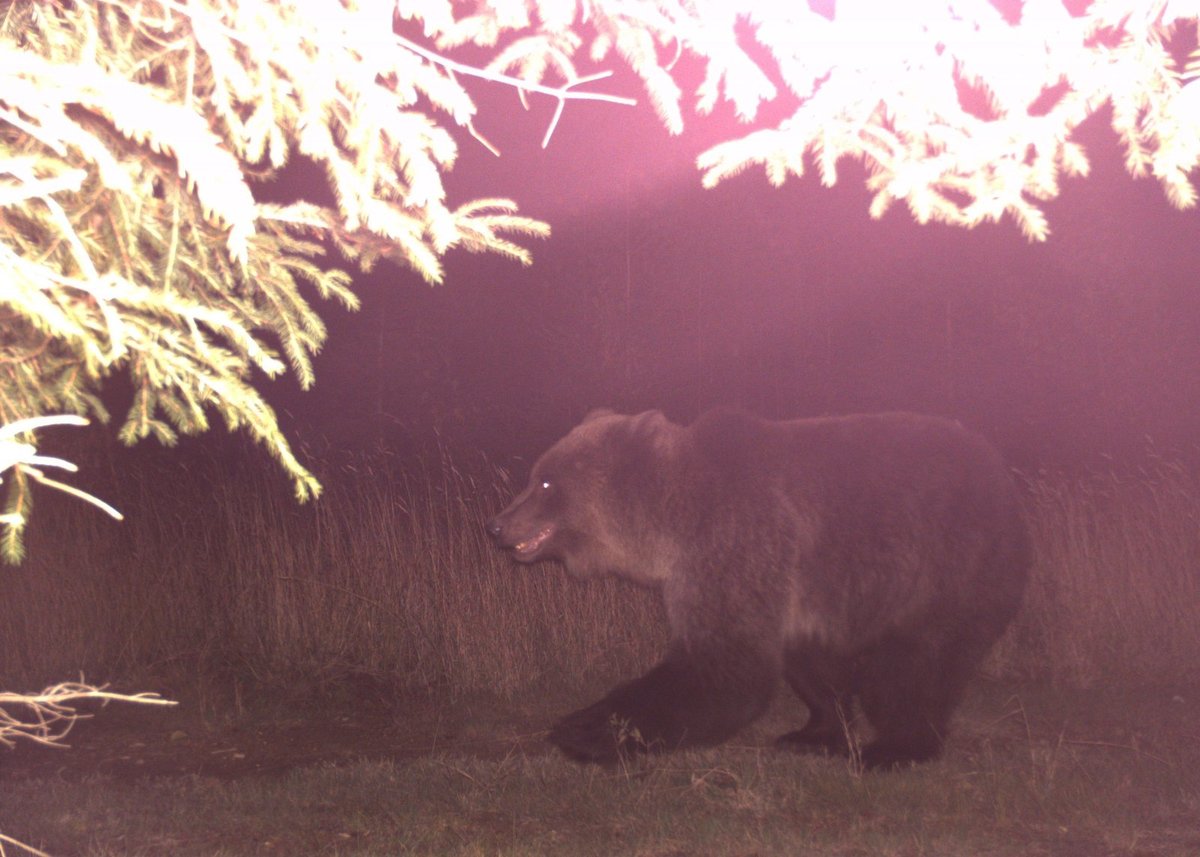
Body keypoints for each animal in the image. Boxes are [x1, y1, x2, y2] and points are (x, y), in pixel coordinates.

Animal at [482, 408, 1027, 768]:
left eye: (545, 483)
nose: (496, 525)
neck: (666, 523)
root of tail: (998, 467)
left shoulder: (734, 540)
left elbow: (723, 667)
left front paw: (584, 728)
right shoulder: (788, 584)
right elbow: (807, 662)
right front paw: (816, 730)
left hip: (949, 563)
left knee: (916, 663)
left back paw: (897, 746)